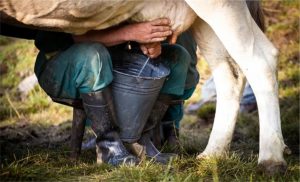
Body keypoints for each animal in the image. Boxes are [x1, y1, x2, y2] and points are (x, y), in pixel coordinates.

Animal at [1, 0, 290, 174]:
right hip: (204, 20)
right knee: (229, 72)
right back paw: (211, 155)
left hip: (220, 5)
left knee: (261, 60)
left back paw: (270, 160)